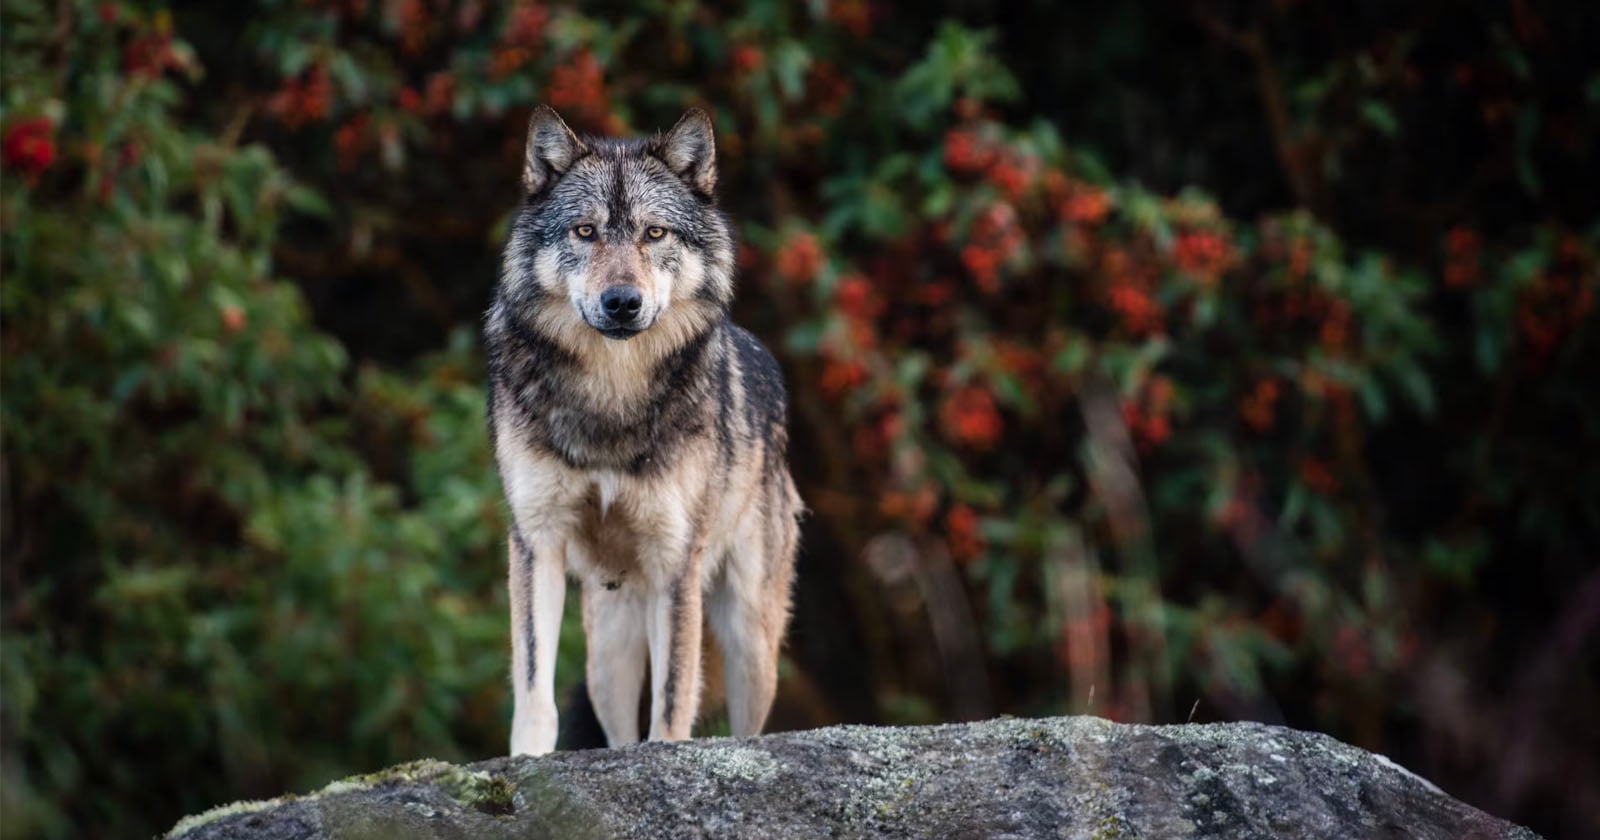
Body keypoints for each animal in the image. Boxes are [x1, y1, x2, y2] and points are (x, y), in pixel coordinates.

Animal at [483, 105, 802, 756]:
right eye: (585, 232)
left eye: (655, 234)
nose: (622, 302)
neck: (613, 394)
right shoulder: (535, 540)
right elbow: (533, 685)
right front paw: (526, 760)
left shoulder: (675, 560)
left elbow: (674, 699)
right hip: (608, 656)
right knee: (617, 729)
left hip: (750, 645)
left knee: (745, 723)